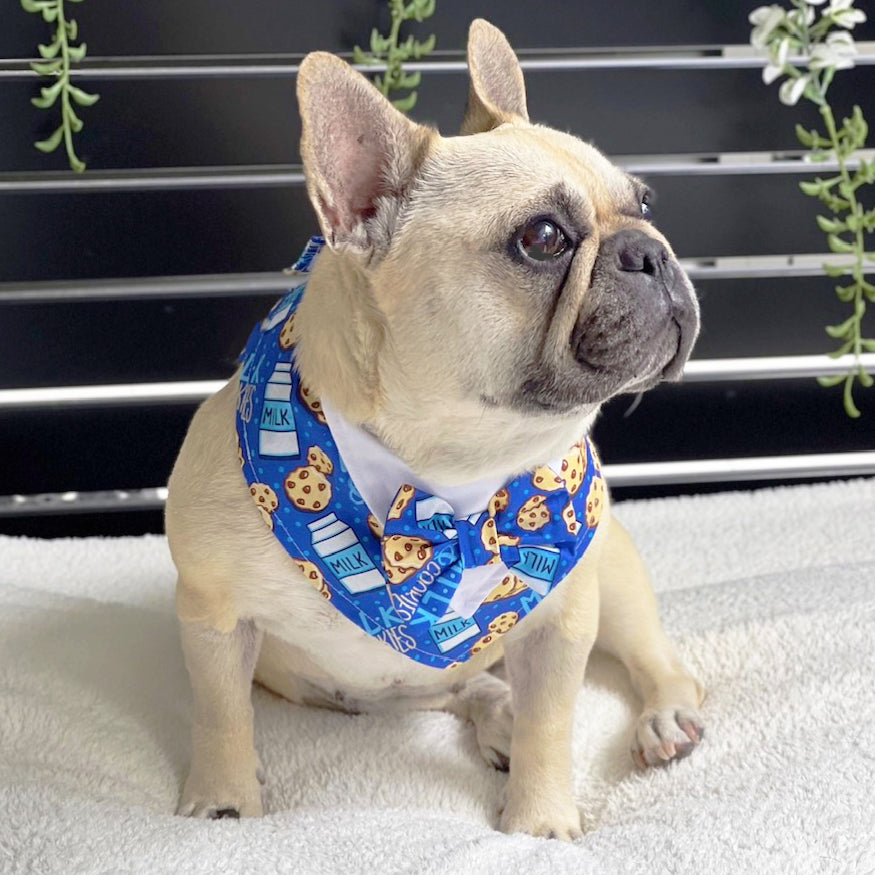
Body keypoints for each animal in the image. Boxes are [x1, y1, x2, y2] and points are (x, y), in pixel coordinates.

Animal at [168, 20, 708, 840]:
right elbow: (220, 714)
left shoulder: (561, 621)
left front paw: (539, 824)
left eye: (645, 200)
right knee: (468, 691)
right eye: (543, 237)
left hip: (612, 579)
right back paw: (493, 715)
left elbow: (551, 723)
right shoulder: (213, 615)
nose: (650, 249)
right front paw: (224, 802)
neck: (450, 478)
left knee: (653, 661)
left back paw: (662, 717)